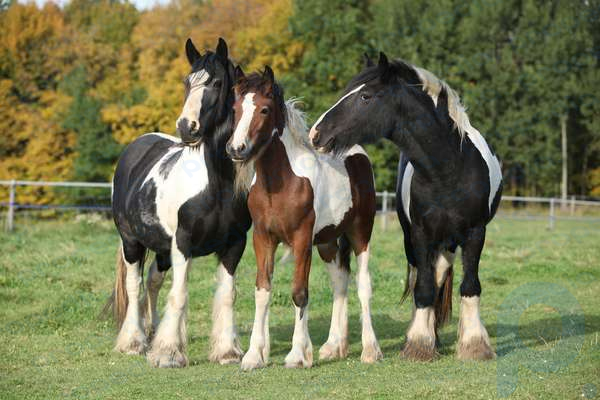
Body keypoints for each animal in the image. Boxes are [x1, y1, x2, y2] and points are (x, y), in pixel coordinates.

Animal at [110, 39, 251, 368]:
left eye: (216, 82)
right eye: (187, 82)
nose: (187, 127)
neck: (217, 186)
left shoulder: (235, 244)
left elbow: (227, 295)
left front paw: (227, 351)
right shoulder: (183, 244)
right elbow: (180, 293)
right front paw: (169, 353)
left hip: (161, 247)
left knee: (152, 281)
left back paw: (151, 333)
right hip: (131, 242)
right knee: (134, 285)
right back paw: (133, 342)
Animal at [227, 65, 382, 368]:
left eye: (264, 110)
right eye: (236, 108)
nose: (236, 149)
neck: (280, 183)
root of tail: (357, 153)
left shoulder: (301, 240)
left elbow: (299, 293)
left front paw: (298, 355)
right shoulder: (263, 238)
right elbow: (262, 291)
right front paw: (254, 355)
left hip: (361, 232)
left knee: (362, 284)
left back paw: (371, 350)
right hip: (328, 242)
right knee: (340, 282)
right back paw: (334, 347)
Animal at [310, 51, 502, 360]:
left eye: (365, 96)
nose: (316, 134)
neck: (450, 169)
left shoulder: (475, 232)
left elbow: (470, 285)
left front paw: (474, 344)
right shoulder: (420, 234)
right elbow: (422, 287)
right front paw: (420, 343)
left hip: (449, 241)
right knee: (426, 278)